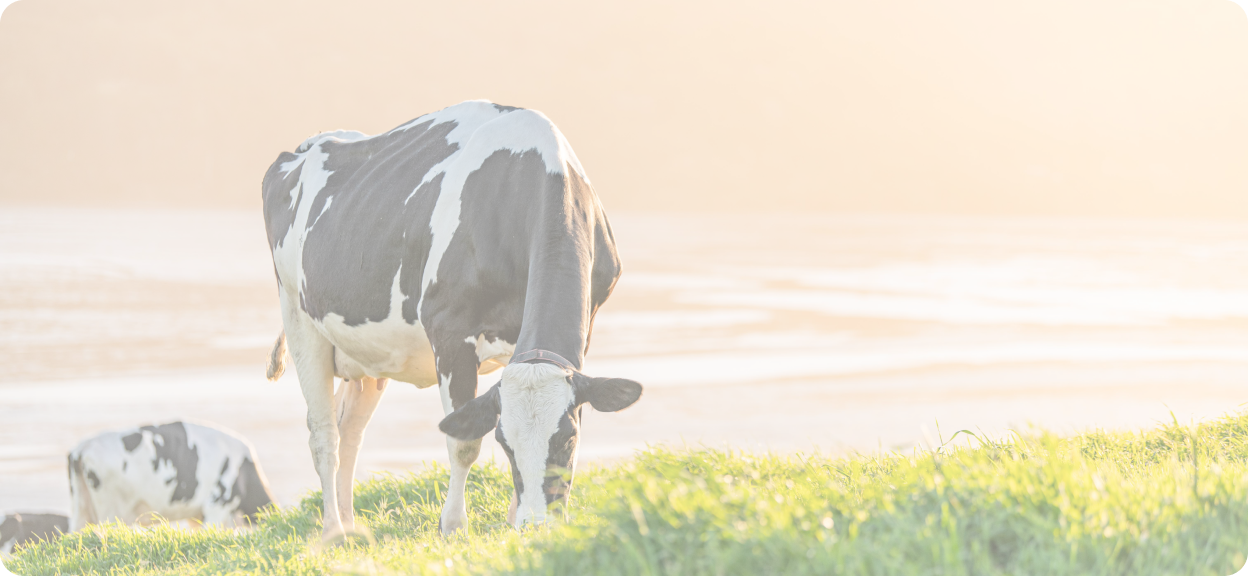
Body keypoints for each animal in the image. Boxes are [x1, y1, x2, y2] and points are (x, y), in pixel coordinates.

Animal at [258, 100, 638, 541]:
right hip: (299, 317)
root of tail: (305, 145)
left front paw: (512, 519)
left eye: (569, 439)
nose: (535, 525)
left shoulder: (580, 329)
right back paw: (334, 532)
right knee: (324, 435)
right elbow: (463, 442)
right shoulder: (450, 331)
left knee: (349, 428)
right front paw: (454, 526)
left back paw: (353, 528)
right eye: (505, 444)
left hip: (368, 352)